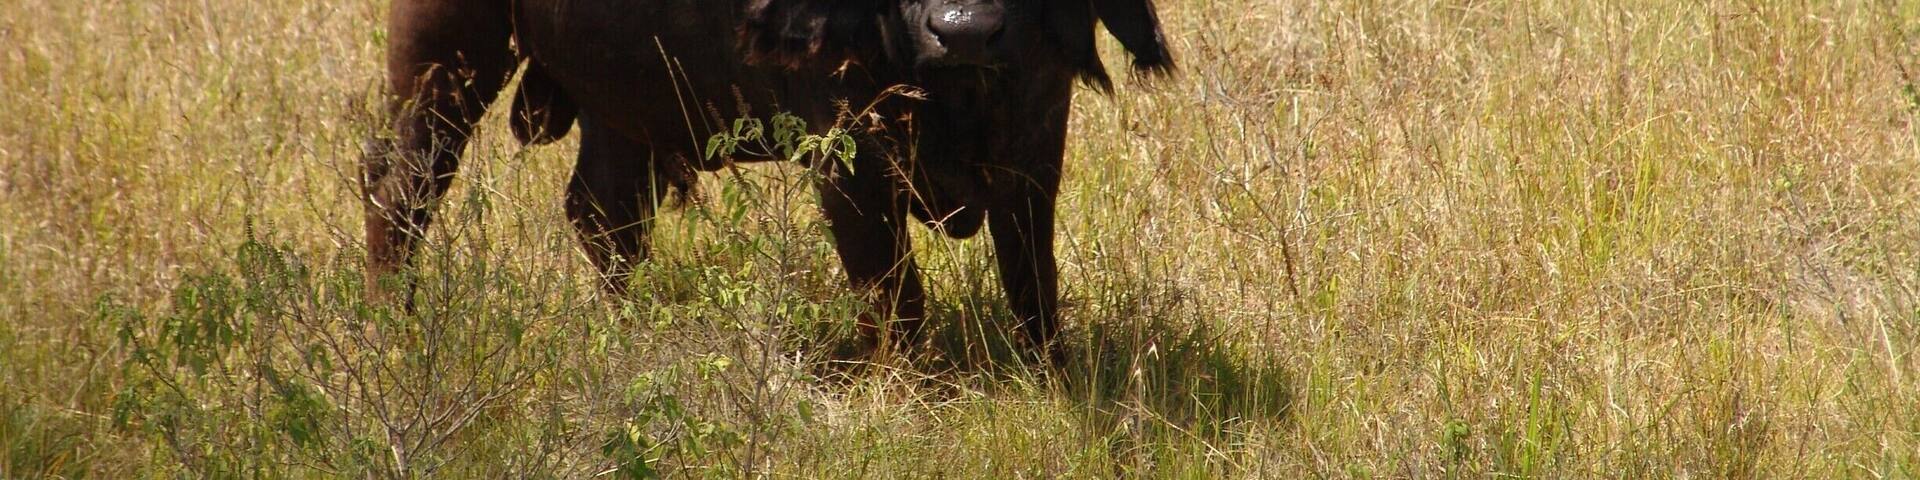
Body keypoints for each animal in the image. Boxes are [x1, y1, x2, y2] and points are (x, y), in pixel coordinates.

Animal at [361, 0, 1173, 361]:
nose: (964, 29)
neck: (952, 90)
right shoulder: (846, 156)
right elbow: (894, 291)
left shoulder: (1038, 134)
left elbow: (1032, 275)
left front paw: (1050, 368)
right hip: (444, 53)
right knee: (402, 187)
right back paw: (393, 323)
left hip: (623, 101)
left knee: (604, 212)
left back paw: (634, 323)